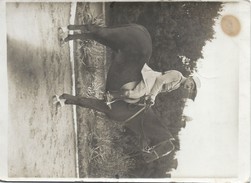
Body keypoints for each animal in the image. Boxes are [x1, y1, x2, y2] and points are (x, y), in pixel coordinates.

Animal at [57, 23, 175, 162]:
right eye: (163, 150)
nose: (147, 158)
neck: (137, 114)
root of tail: (140, 29)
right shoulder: (103, 106)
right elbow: (83, 101)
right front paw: (60, 99)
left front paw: (62, 99)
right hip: (108, 38)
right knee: (92, 29)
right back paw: (64, 33)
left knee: (91, 32)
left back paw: (64, 35)